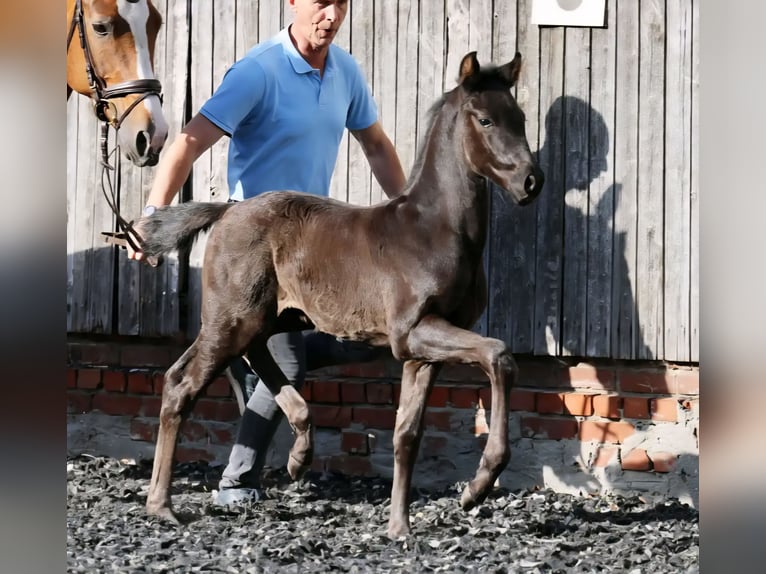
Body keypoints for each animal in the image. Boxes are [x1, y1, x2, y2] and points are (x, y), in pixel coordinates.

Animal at [140, 51, 544, 539]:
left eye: (520, 118)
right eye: (484, 119)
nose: (531, 181)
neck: (435, 230)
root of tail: (226, 211)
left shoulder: (422, 349)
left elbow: (407, 434)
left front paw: (398, 526)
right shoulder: (414, 333)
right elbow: (499, 355)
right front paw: (478, 485)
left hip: (264, 318)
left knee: (245, 361)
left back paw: (300, 450)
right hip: (231, 319)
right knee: (183, 385)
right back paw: (161, 504)